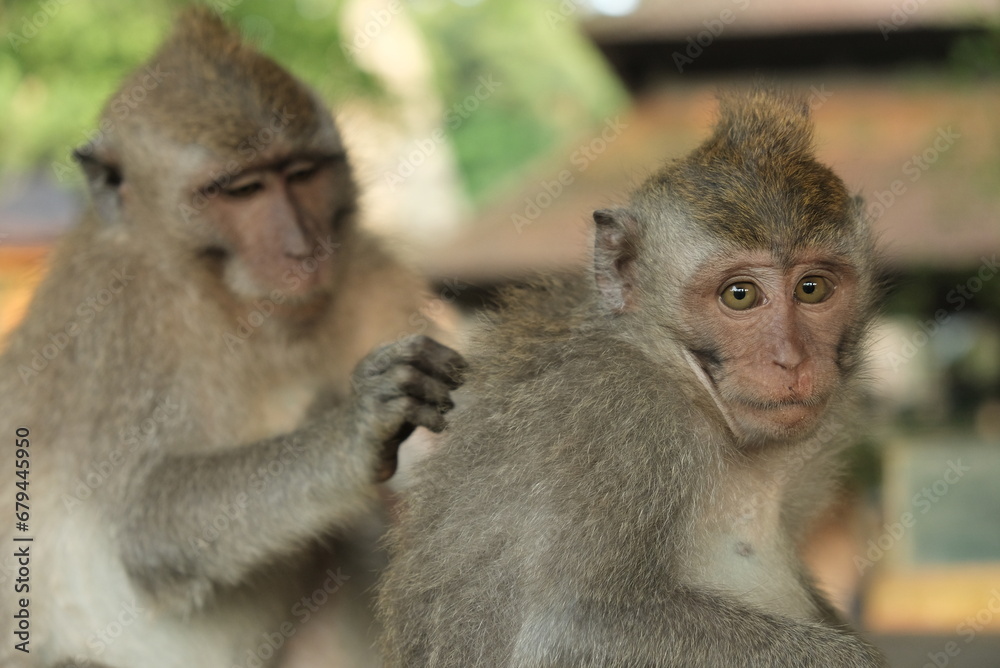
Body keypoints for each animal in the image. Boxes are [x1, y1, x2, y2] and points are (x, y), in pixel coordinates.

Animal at [0, 8, 464, 668]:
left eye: (301, 174)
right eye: (242, 190)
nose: (303, 248)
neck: (238, 307)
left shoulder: (365, 277)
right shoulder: (122, 333)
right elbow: (142, 523)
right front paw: (352, 428)